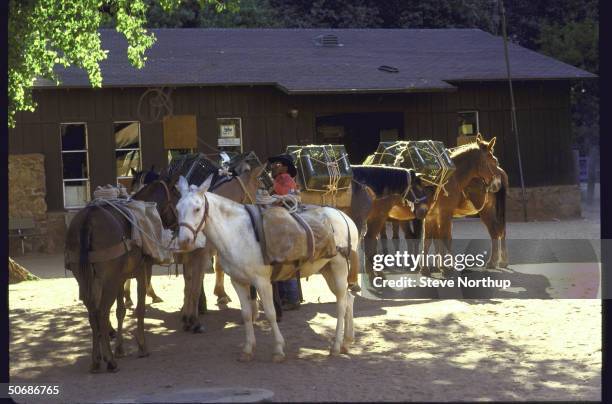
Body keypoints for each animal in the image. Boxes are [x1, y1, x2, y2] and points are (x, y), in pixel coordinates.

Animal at [176, 175, 358, 362]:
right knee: (348, 299)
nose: (184, 241)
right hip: (327, 269)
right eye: (177, 209)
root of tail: (345, 218)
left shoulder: (262, 282)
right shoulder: (238, 282)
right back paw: (347, 341)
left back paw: (336, 346)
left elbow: (271, 313)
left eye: (197, 209)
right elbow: (246, 314)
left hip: (339, 267)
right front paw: (248, 349)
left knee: (341, 304)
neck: (238, 233)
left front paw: (278, 349)